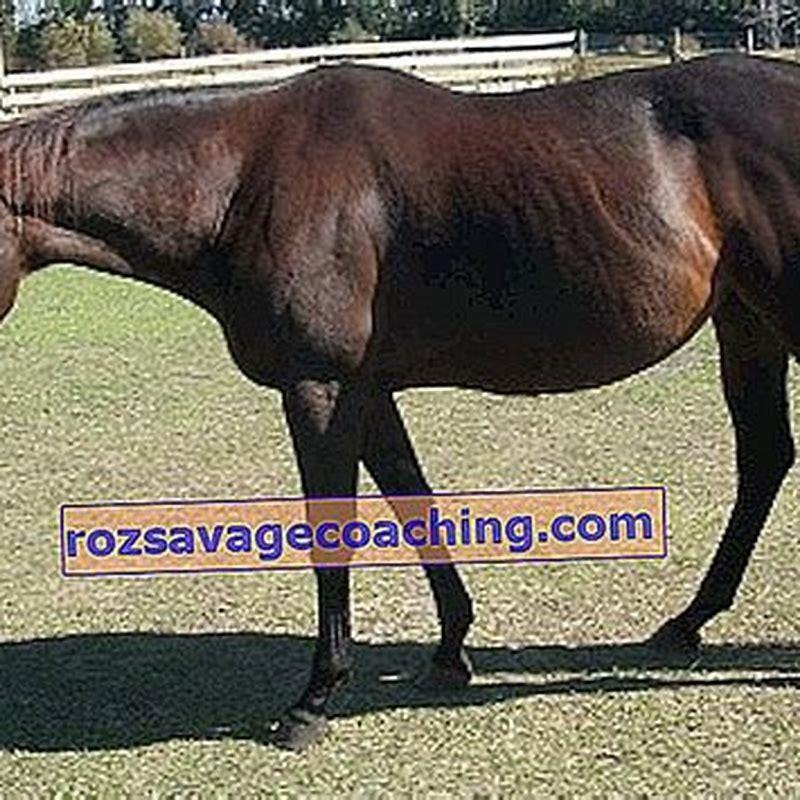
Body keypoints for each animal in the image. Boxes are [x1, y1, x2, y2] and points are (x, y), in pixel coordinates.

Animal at [1, 52, 798, 751]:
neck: (244, 183)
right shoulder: (367, 389)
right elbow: (413, 501)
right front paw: (450, 649)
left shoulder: (319, 387)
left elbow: (334, 531)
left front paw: (315, 697)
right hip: (748, 325)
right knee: (764, 460)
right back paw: (687, 622)